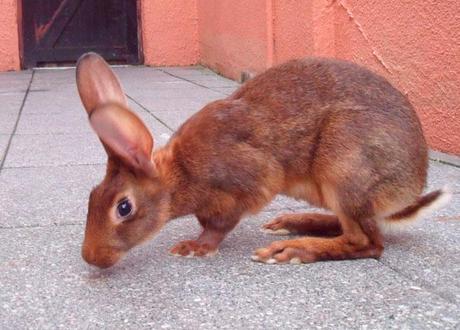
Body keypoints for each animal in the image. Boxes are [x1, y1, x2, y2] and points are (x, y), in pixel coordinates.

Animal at [76, 52, 450, 268]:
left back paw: (293, 251)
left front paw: (194, 247)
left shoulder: (247, 184)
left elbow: (219, 225)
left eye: (124, 207)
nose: (92, 258)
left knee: (367, 242)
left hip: (344, 165)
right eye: (91, 197)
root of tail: (411, 186)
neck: (179, 173)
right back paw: (290, 223)